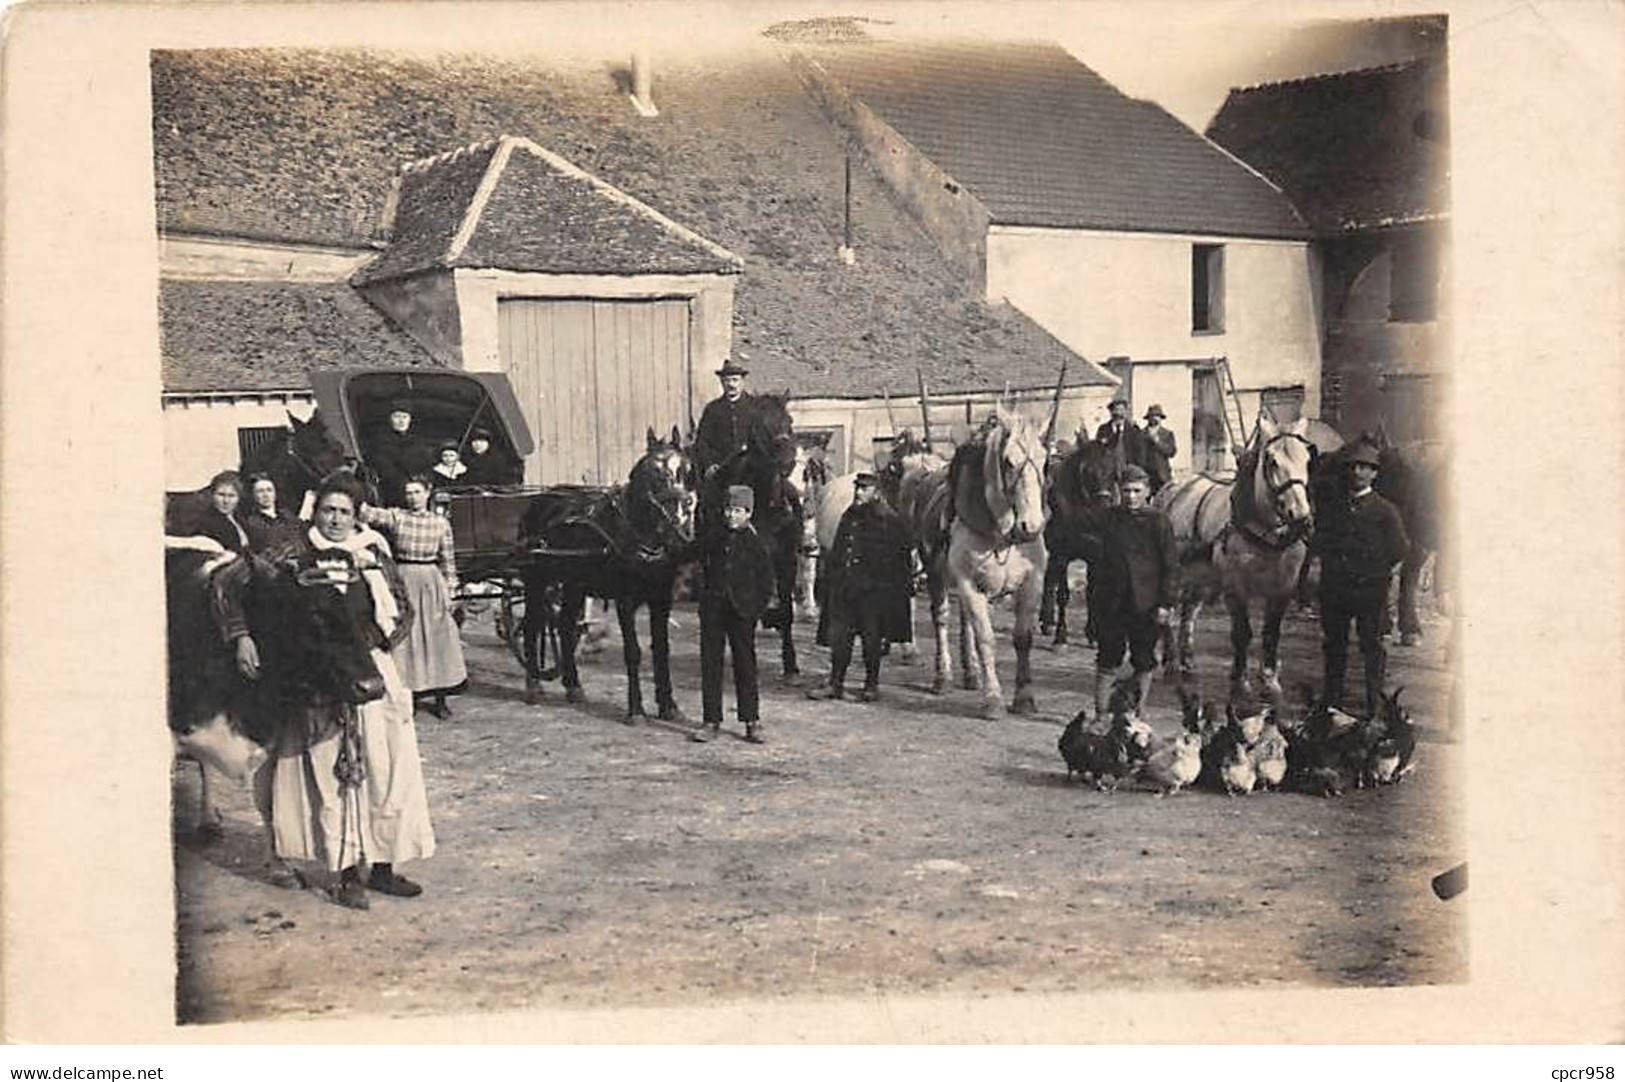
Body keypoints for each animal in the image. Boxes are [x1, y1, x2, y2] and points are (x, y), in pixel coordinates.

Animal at [520, 425, 698, 721]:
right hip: (537, 581)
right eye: (653, 472)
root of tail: (541, 500)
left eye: (686, 469)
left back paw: (573, 686)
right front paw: (636, 710)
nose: (680, 524)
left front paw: (669, 706)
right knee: (533, 626)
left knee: (565, 626)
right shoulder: (625, 601)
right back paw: (534, 685)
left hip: (574, 585)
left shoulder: (661, 600)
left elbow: (661, 650)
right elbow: (633, 651)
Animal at [702, 389, 802, 675]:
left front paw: (790, 662)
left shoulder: (787, 561)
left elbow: (787, 610)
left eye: (789, 421)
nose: (787, 461)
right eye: (762, 427)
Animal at [1040, 435, 1118, 640]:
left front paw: (1092, 632)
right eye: (1087, 472)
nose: (1103, 509)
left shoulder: (1096, 555)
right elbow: (1063, 594)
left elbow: (1092, 592)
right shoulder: (1062, 554)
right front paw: (1061, 634)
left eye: (1113, 472)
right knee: (1049, 578)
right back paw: (1047, 621)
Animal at [1157, 409, 1319, 695]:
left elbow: (1271, 632)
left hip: (1201, 578)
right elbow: (1242, 632)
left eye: (1307, 459)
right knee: (1169, 614)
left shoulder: (1284, 586)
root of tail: (1171, 488)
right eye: (1272, 461)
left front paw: (1270, 679)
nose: (1301, 518)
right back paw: (1171, 662)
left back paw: (1187, 661)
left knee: (1189, 613)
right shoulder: (1235, 586)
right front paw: (1240, 680)